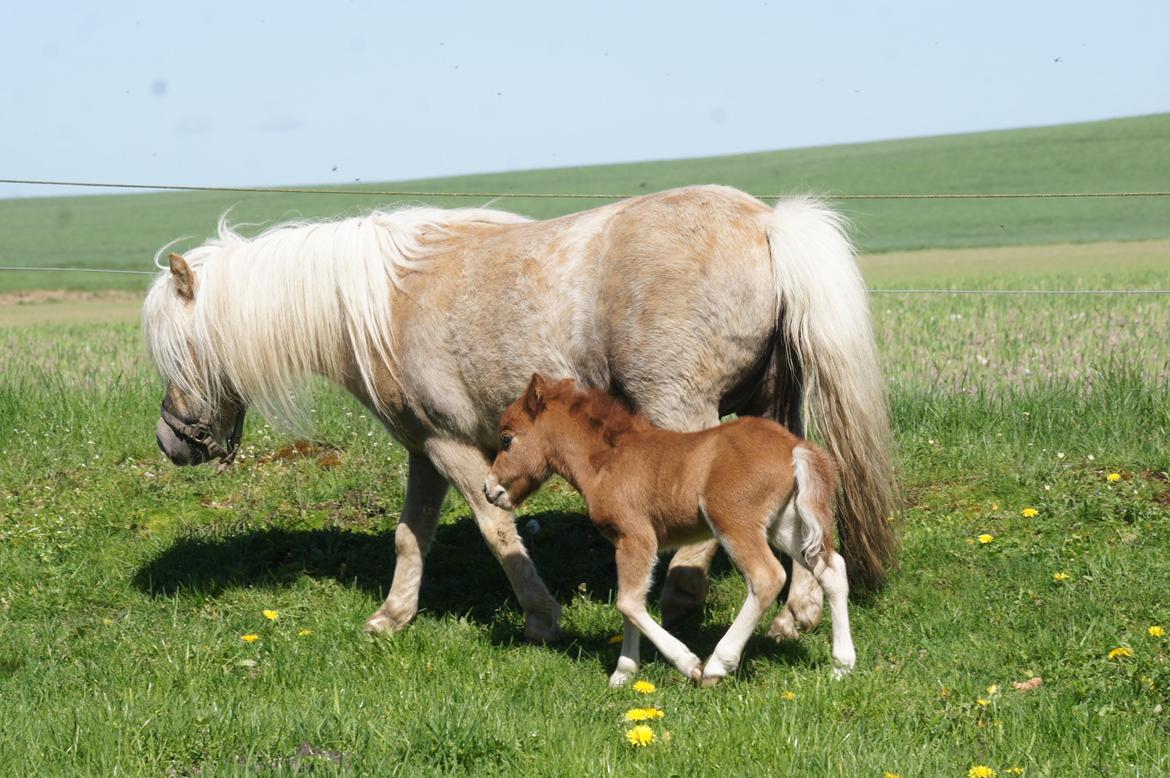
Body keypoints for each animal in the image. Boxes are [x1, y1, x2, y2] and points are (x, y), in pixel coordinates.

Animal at [143, 184, 893, 641]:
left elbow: (495, 525)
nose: (170, 440)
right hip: (771, 410)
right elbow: (411, 535)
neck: (381, 304)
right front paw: (392, 616)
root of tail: (765, 222)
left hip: (681, 409)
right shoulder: (423, 449)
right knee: (798, 506)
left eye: (179, 351)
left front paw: (541, 617)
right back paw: (797, 612)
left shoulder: (452, 444)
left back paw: (681, 600)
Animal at [479, 376, 856, 687]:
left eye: (507, 439)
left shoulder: (637, 536)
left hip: (734, 522)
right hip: (785, 524)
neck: (607, 461)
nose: (489, 489)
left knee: (767, 577)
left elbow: (628, 602)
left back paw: (718, 665)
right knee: (832, 570)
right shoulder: (623, 542)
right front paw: (623, 673)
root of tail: (794, 447)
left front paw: (688, 663)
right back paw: (842, 664)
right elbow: (631, 601)